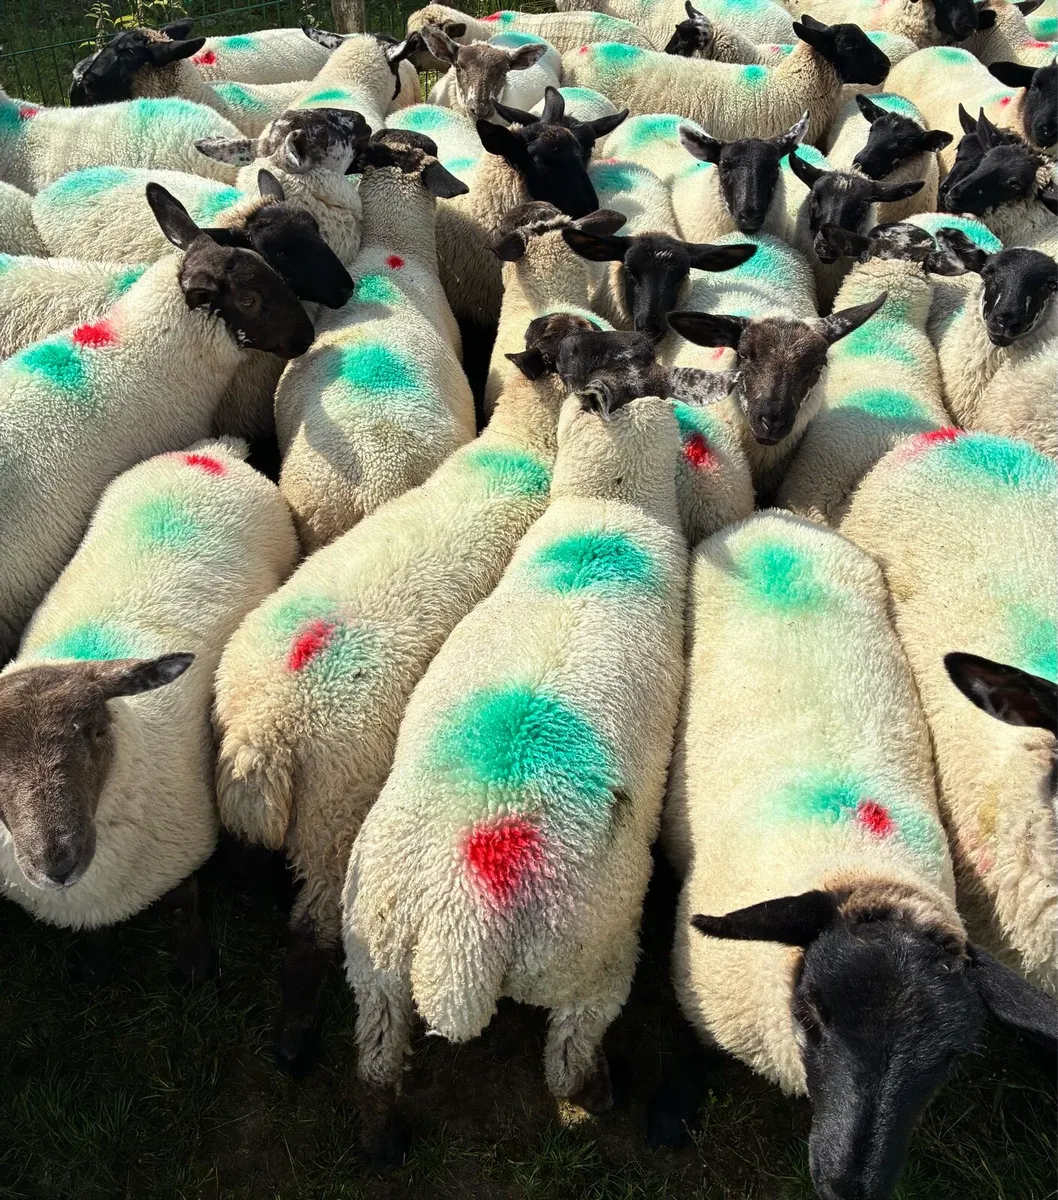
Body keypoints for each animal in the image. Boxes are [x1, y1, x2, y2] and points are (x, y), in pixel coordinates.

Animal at [0, 439, 296, 982]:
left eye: (95, 731)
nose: (57, 864)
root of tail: (211, 454)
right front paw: (95, 969)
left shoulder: (183, 847)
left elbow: (184, 903)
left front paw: (197, 969)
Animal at [213, 310, 595, 1074]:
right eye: (584, 346)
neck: (524, 447)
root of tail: (265, 725)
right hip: (334, 820)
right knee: (311, 930)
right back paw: (297, 1041)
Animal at [343, 389, 688, 1166]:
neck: (607, 518)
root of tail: (459, 930)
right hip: (590, 957)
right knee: (567, 1056)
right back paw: (601, 1090)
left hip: (374, 953)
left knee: (375, 1055)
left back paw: (380, 1138)